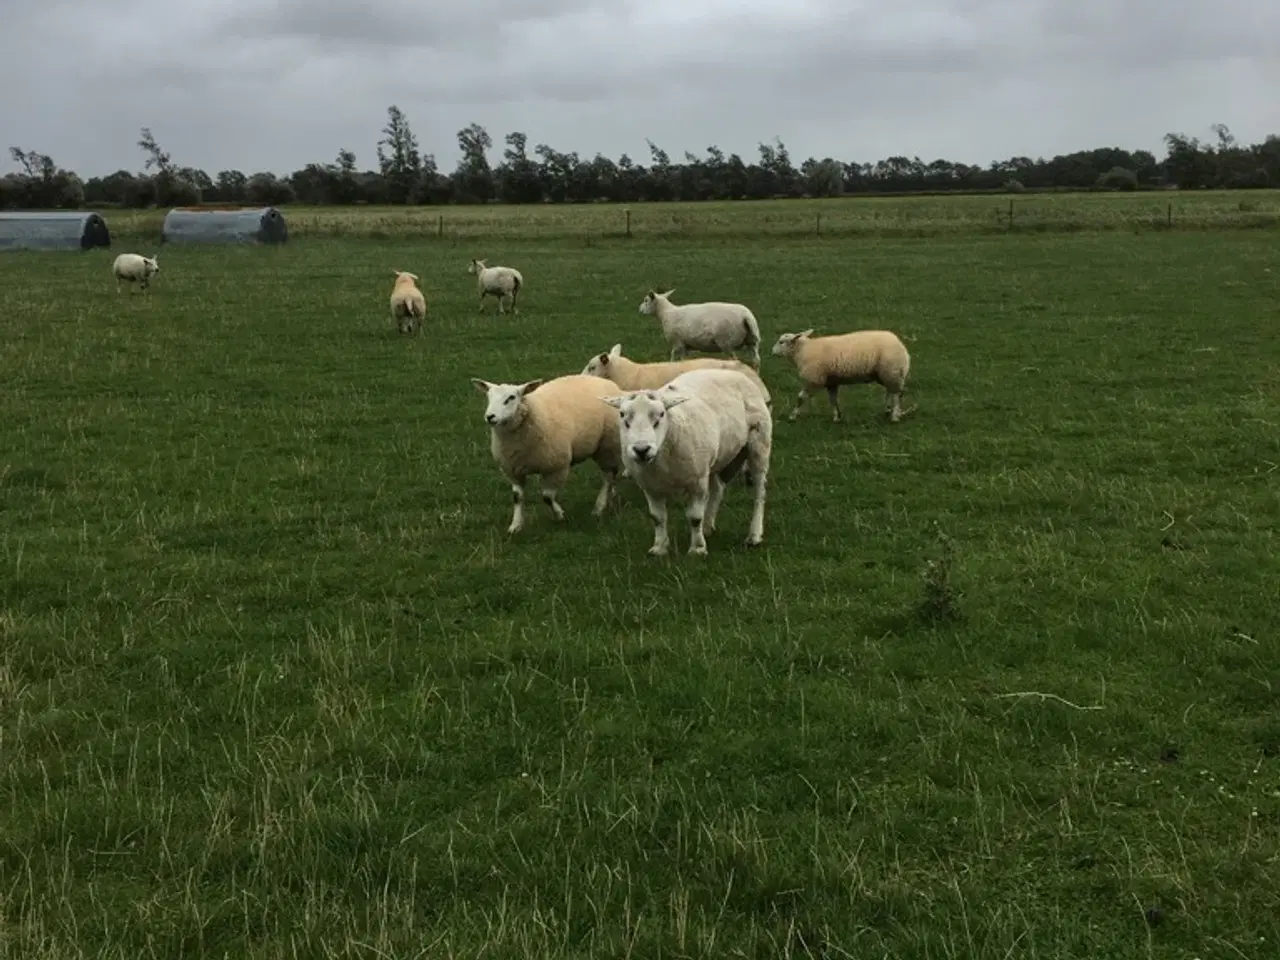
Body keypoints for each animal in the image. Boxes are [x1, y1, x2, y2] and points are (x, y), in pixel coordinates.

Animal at [473, 371, 627, 535]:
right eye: (488, 396)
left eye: (511, 397)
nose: (490, 417)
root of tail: (605, 381)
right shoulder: (512, 470)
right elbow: (517, 497)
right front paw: (515, 525)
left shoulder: (557, 467)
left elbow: (546, 497)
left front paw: (560, 514)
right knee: (610, 476)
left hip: (607, 445)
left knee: (608, 476)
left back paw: (599, 507)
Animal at [599, 371, 768, 563]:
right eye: (622, 415)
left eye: (661, 414)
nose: (642, 450)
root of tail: (736, 372)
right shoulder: (649, 486)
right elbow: (657, 518)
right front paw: (659, 547)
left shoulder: (697, 482)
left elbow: (694, 518)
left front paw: (697, 549)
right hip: (714, 459)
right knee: (718, 488)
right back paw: (708, 527)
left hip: (759, 444)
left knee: (759, 493)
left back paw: (754, 535)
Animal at [762, 330, 916, 422]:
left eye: (781, 342)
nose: (772, 351)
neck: (803, 351)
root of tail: (901, 345)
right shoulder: (831, 382)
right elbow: (833, 400)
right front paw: (837, 417)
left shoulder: (814, 380)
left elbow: (800, 398)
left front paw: (792, 416)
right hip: (886, 374)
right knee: (892, 392)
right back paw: (888, 410)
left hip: (891, 371)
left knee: (896, 394)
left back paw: (894, 416)